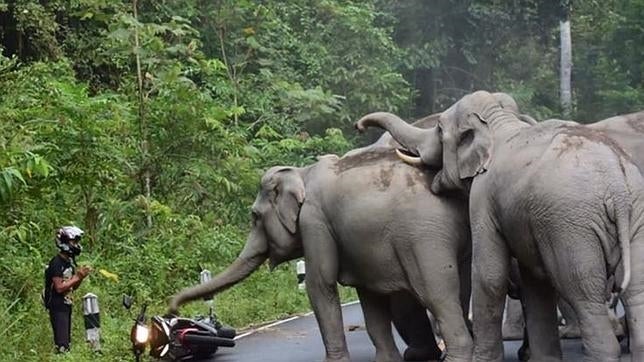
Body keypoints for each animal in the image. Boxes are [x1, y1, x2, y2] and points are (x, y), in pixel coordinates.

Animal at [169, 141, 476, 362]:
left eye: (254, 216)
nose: (172, 309)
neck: (301, 172)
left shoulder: (314, 221)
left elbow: (319, 284)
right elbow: (370, 297)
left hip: (424, 238)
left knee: (437, 294)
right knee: (460, 290)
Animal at [354, 90, 644, 362]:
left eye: (438, 129)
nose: (359, 125)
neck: (498, 122)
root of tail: (616, 184)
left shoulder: (483, 197)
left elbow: (489, 274)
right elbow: (533, 282)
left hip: (572, 224)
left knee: (582, 290)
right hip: (634, 214)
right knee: (635, 289)